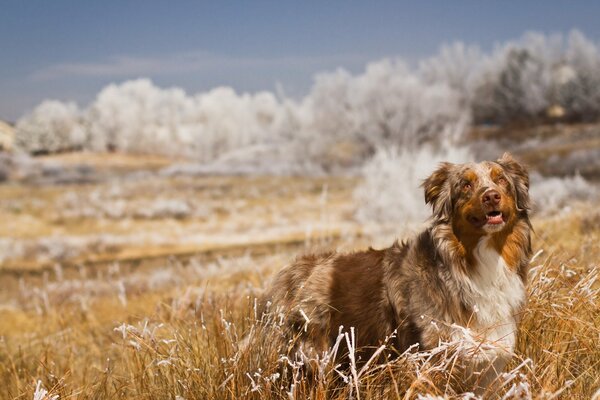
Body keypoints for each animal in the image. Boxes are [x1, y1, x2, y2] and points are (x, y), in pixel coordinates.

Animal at [260, 152, 532, 390]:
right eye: (466, 185)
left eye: (501, 180)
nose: (492, 196)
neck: (473, 262)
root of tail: (290, 270)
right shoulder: (432, 356)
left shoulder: (488, 364)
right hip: (310, 355)